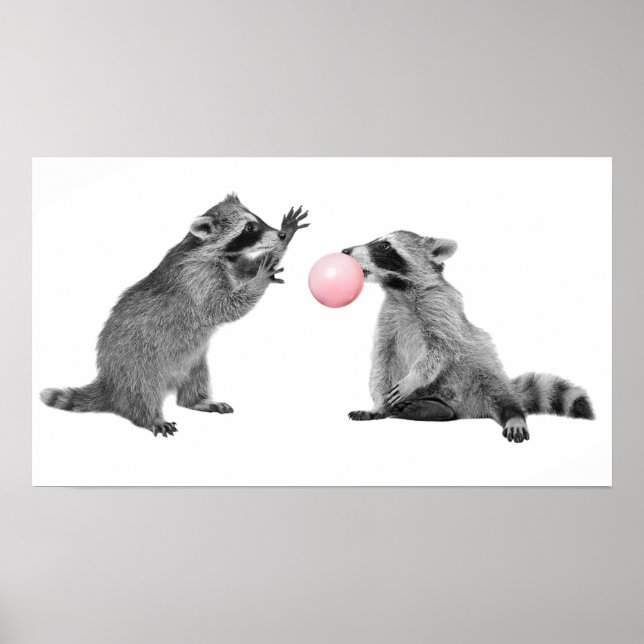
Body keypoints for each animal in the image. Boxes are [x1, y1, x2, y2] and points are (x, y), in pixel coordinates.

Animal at [40, 194, 309, 437]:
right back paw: (150, 417)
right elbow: (222, 307)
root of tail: (110, 383)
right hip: (136, 364)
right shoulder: (197, 278)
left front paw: (283, 242)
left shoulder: (229, 265)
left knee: (196, 379)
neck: (207, 249)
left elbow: (244, 271)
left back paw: (197, 400)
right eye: (249, 228)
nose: (280, 235)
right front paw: (260, 279)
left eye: (258, 220)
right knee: (142, 393)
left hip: (193, 361)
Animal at [342, 231, 594, 443]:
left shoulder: (443, 311)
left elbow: (440, 351)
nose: (345, 251)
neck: (399, 291)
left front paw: (412, 379)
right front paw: (378, 404)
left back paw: (513, 415)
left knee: (500, 395)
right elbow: (382, 361)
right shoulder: (388, 319)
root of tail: (467, 410)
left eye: (384, 245)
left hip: (481, 376)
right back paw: (429, 408)